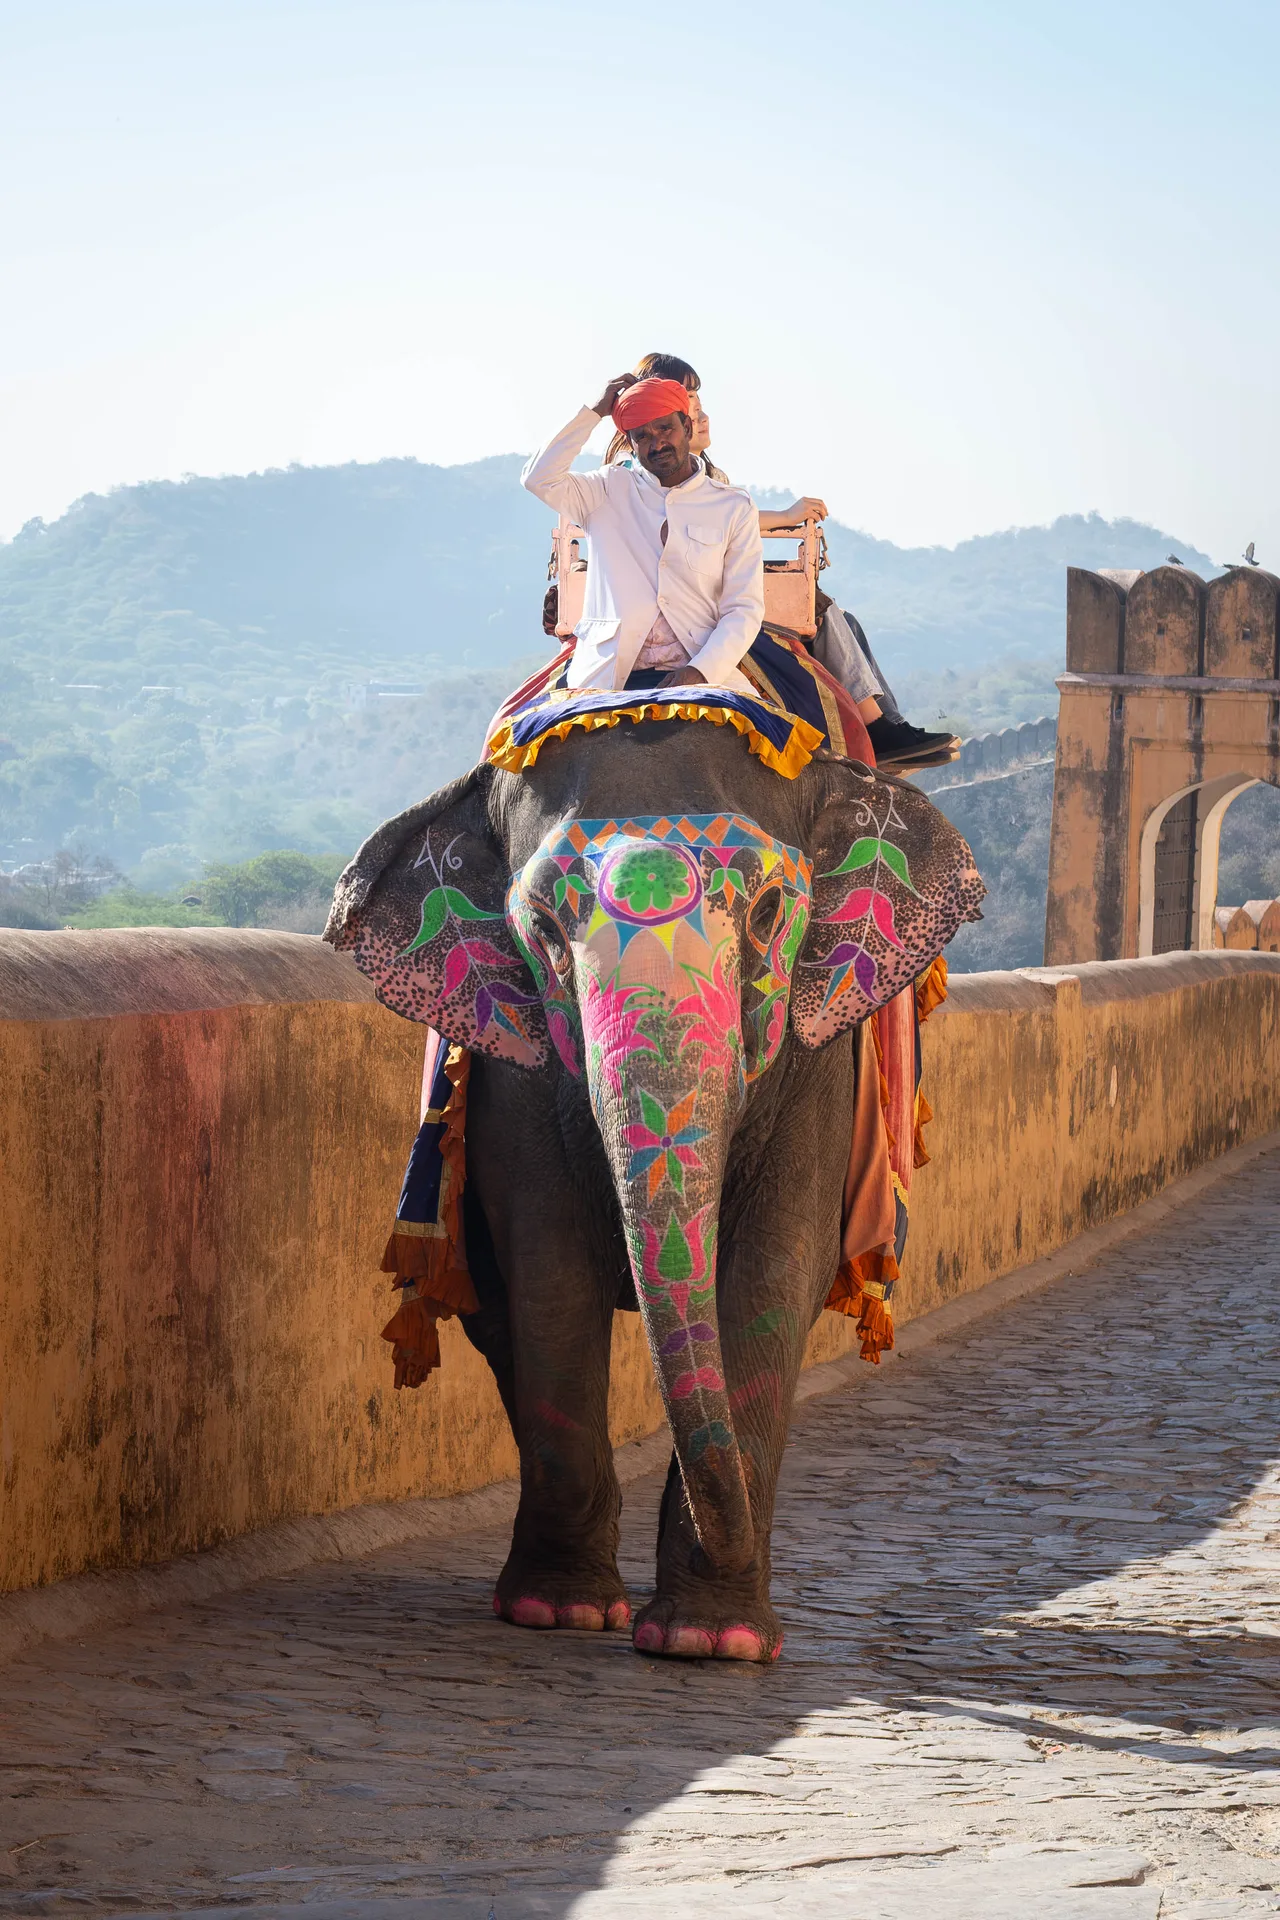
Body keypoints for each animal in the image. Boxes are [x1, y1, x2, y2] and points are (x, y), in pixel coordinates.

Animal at [326, 718, 983, 1663]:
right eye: (540, 927)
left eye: (770, 910)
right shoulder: (516, 1064)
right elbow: (550, 1265)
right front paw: (565, 1614)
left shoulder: (821, 1055)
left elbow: (775, 1268)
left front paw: (714, 1641)